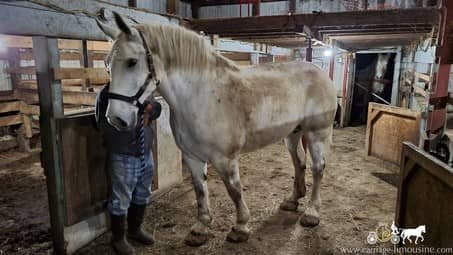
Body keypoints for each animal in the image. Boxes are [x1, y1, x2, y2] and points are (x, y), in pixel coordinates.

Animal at [95, 12, 336, 247]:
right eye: (107, 64)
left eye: (132, 62)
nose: (116, 118)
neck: (202, 96)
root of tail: (319, 71)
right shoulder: (191, 156)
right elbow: (200, 190)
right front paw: (201, 228)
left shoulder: (225, 159)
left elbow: (234, 190)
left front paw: (240, 227)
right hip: (293, 133)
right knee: (299, 162)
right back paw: (293, 200)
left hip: (317, 133)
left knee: (317, 168)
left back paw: (312, 213)